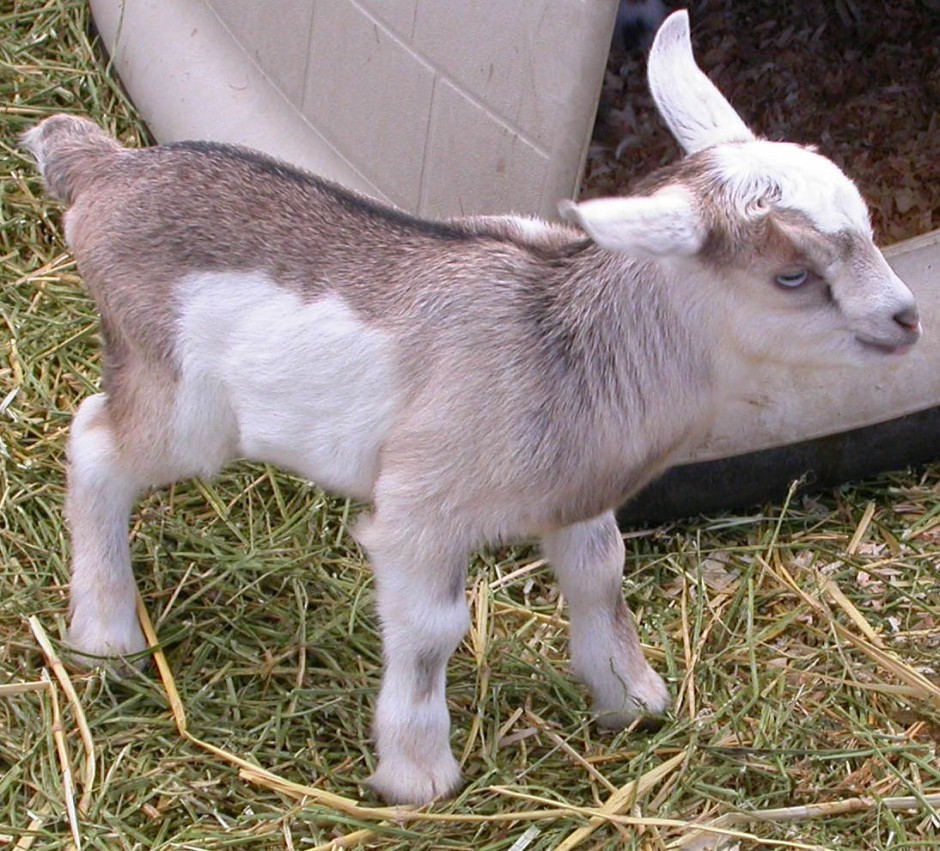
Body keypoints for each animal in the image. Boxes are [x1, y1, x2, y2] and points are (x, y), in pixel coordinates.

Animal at [23, 11, 919, 805]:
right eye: (792, 274)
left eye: (869, 222)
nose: (909, 317)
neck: (570, 338)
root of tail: (101, 170)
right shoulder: (420, 513)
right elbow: (430, 633)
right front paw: (417, 775)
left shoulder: (576, 495)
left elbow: (602, 578)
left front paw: (632, 698)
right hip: (181, 395)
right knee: (95, 439)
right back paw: (105, 636)